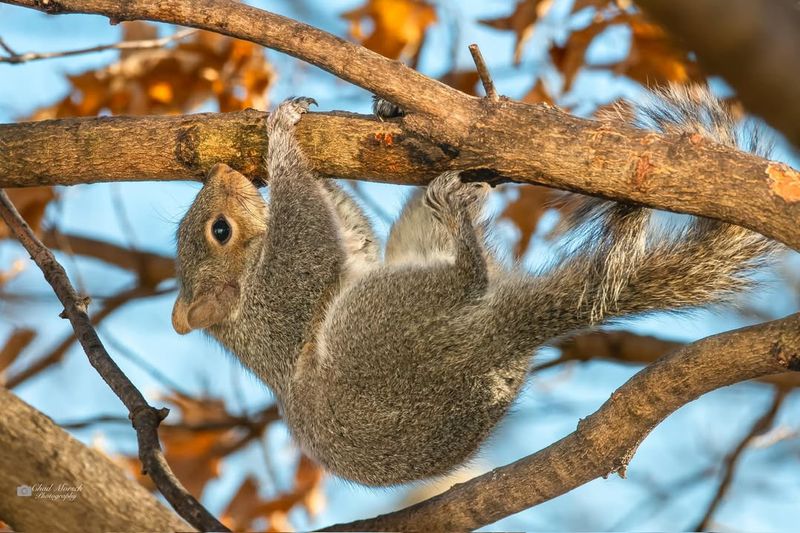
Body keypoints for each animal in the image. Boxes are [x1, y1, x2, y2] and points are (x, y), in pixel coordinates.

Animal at [172, 86, 779, 486]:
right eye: (219, 231)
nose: (221, 171)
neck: (244, 297)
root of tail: (493, 343)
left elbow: (347, 225)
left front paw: (379, 110)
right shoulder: (284, 292)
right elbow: (309, 226)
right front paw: (281, 130)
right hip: (373, 323)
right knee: (469, 276)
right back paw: (463, 226)